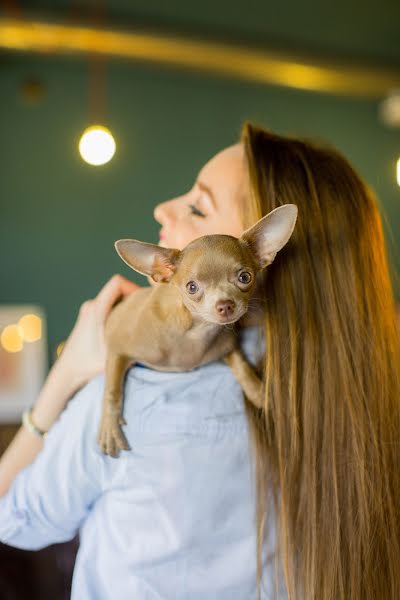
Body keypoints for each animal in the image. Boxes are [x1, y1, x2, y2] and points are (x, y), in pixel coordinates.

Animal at [97, 204, 296, 458]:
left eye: (245, 277)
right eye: (192, 287)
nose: (225, 305)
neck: (196, 331)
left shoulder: (225, 346)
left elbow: (241, 366)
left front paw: (259, 392)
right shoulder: (117, 347)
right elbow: (112, 389)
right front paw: (109, 426)